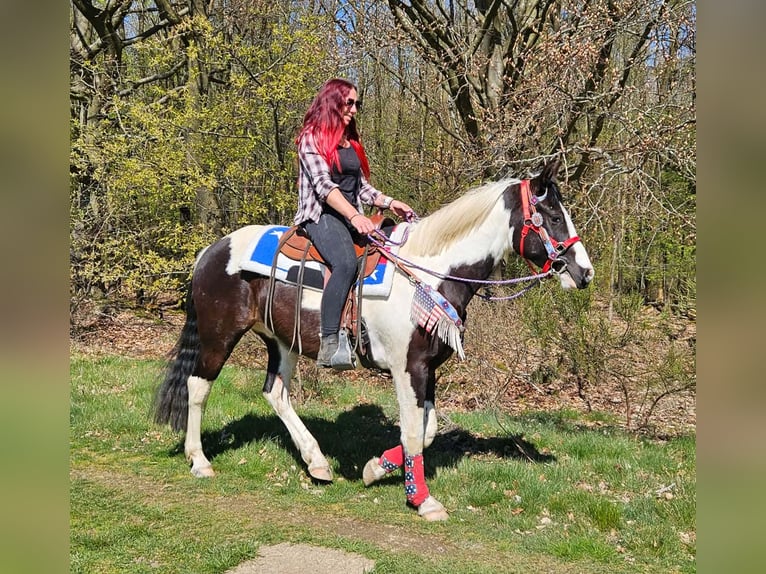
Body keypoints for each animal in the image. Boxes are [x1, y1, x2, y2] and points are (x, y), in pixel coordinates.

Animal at [153, 158, 594, 521]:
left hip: (281, 342)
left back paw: (316, 461)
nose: (584, 272)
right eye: (553, 216)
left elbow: (427, 430)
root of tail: (212, 250)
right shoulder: (406, 368)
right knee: (197, 386)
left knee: (275, 393)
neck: (429, 274)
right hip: (219, 335)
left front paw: (375, 469)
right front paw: (422, 500)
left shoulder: (428, 368)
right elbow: (413, 431)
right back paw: (200, 460)